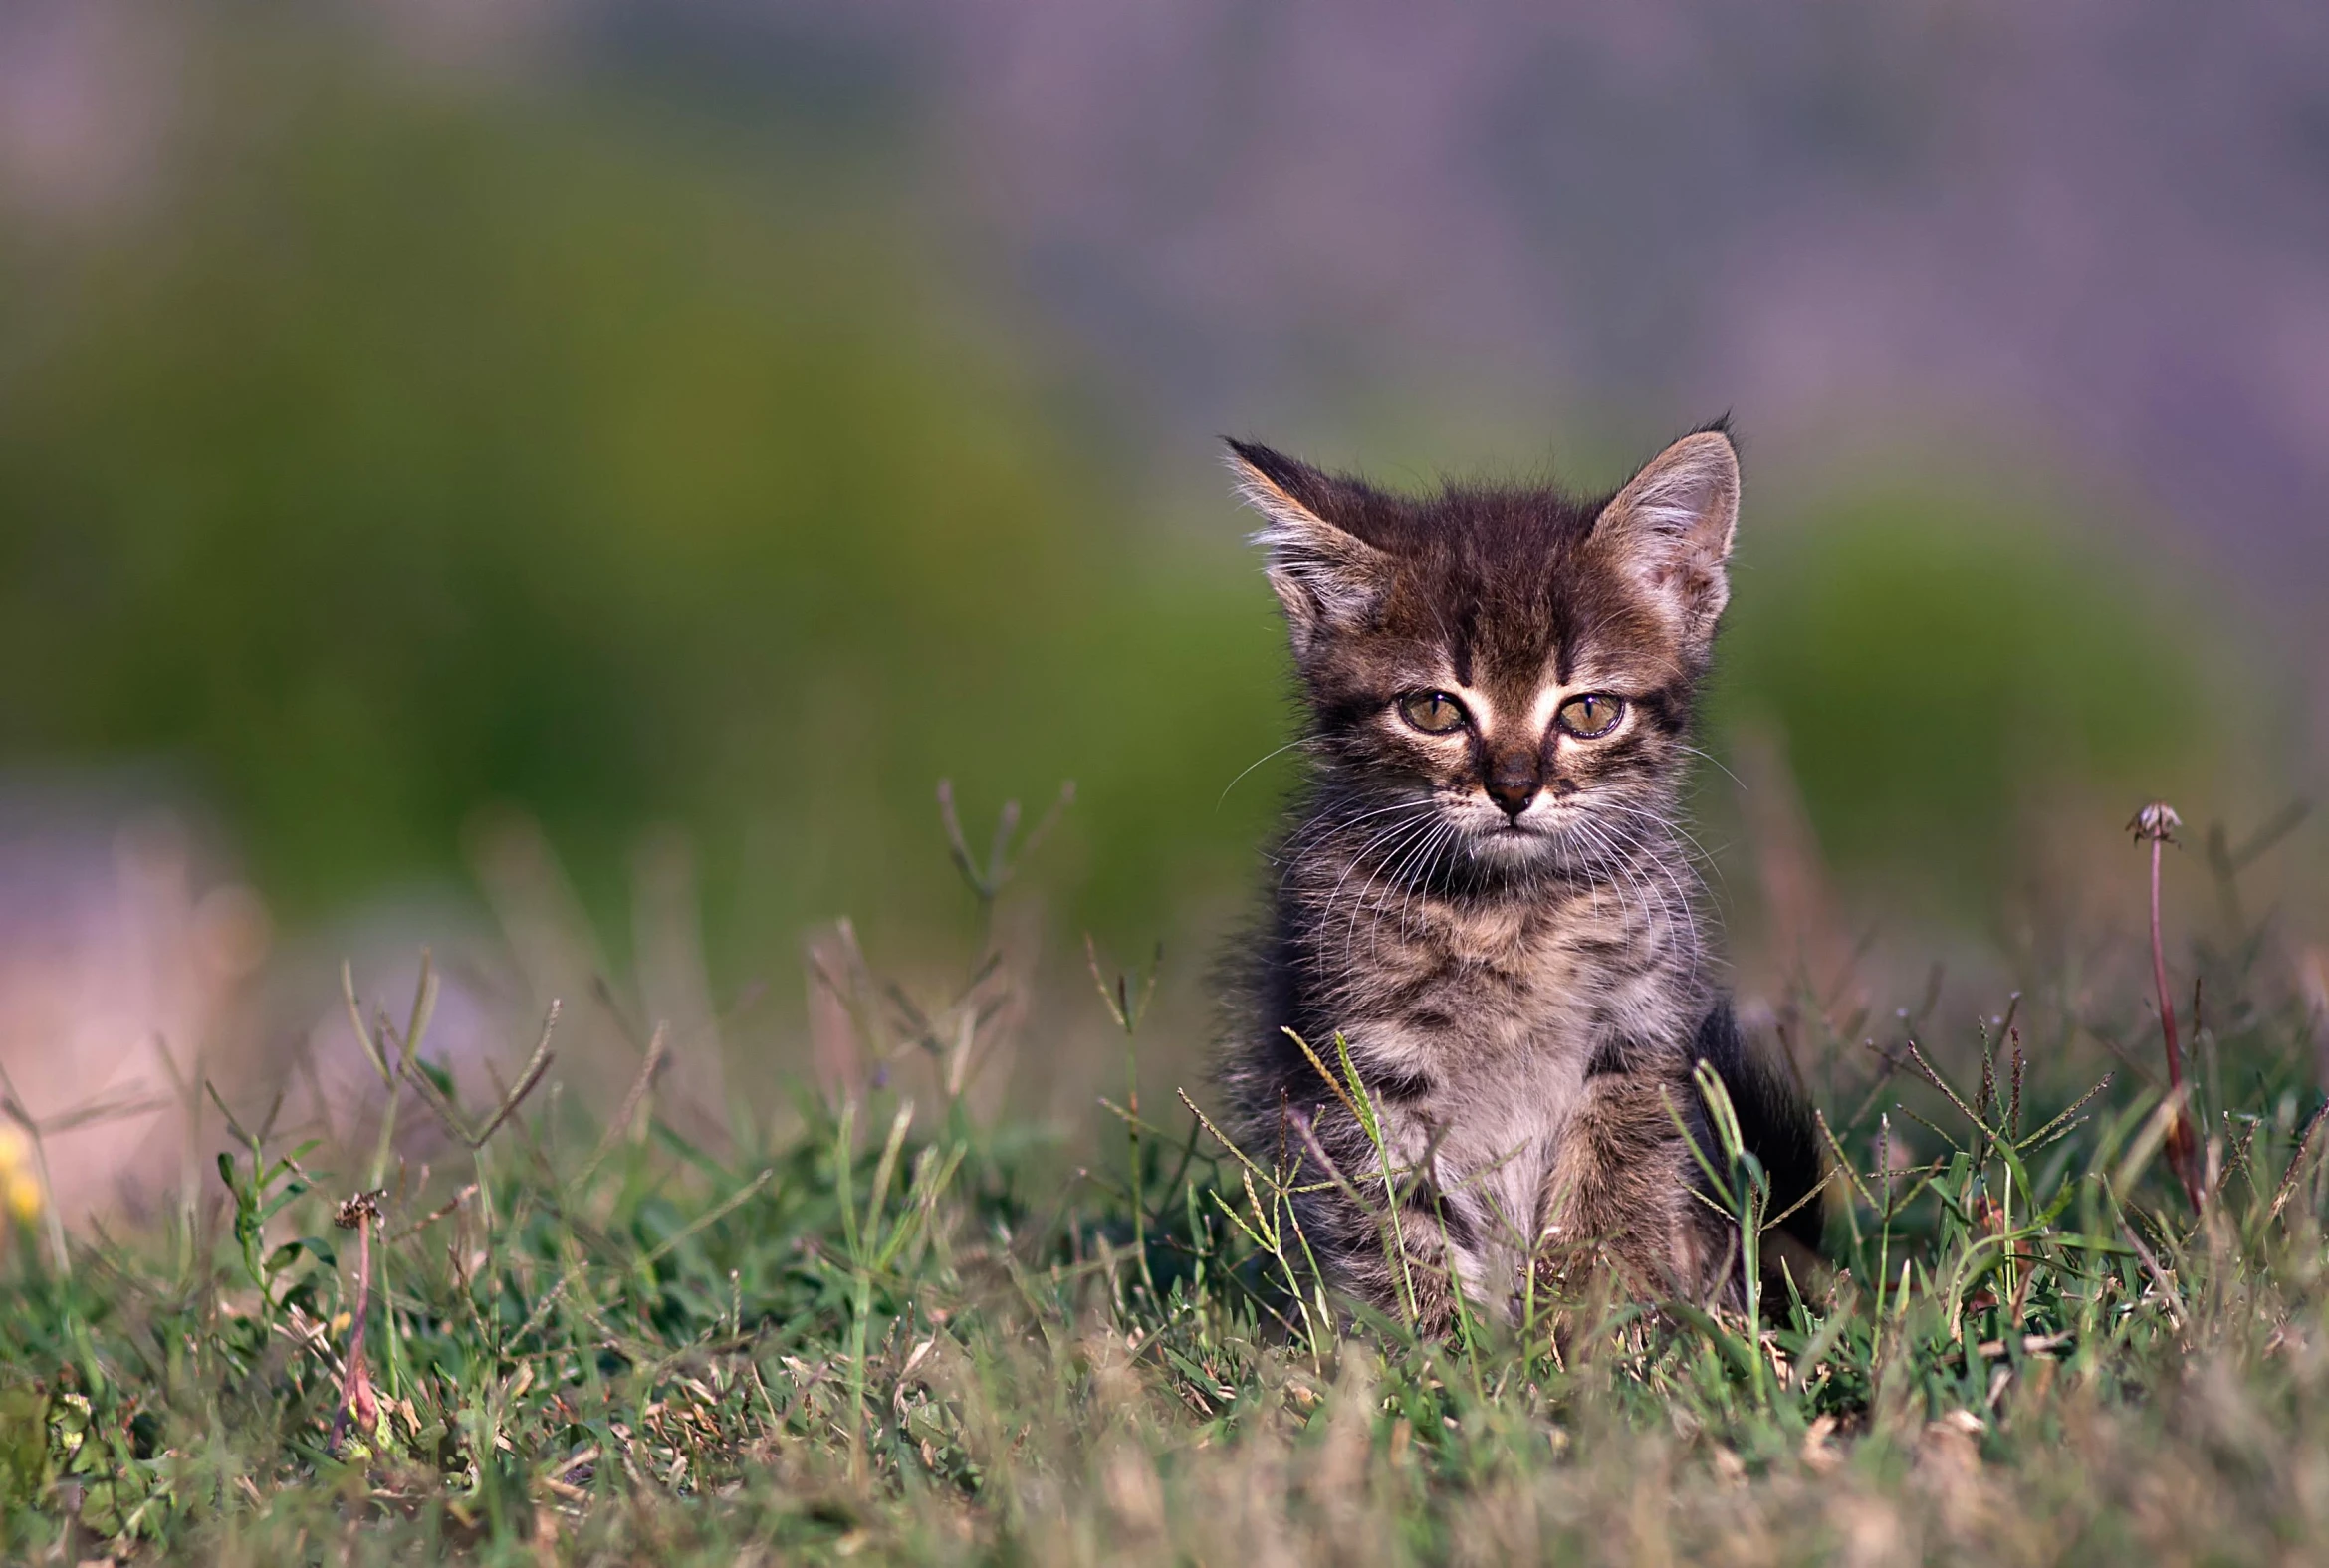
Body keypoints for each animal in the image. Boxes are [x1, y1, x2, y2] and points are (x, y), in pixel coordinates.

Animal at [1220, 421, 1816, 1323]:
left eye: (1589, 711)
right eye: (1432, 708)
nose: (1511, 787)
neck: (1507, 916)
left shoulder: (1634, 1038)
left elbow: (1609, 1196)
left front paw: (1593, 1329)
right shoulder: (1359, 1067)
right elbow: (1400, 1224)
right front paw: (1437, 1348)